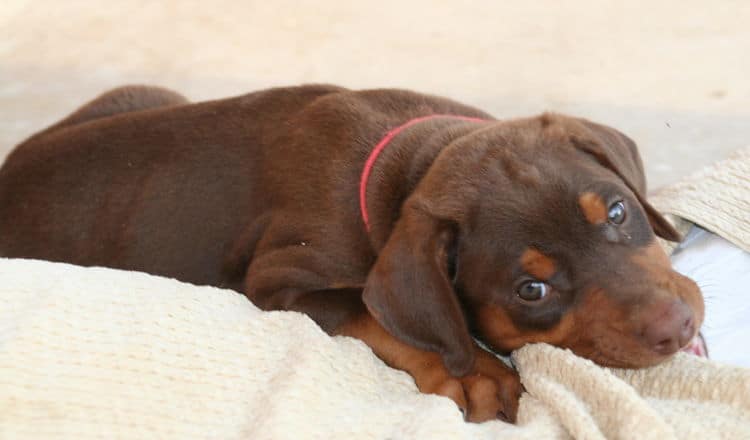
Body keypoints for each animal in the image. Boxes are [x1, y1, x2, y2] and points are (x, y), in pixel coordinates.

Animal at [0, 83, 704, 422]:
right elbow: (367, 311)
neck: (407, 156)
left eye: (618, 212)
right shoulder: (278, 280)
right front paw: (473, 371)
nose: (679, 327)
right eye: (531, 290)